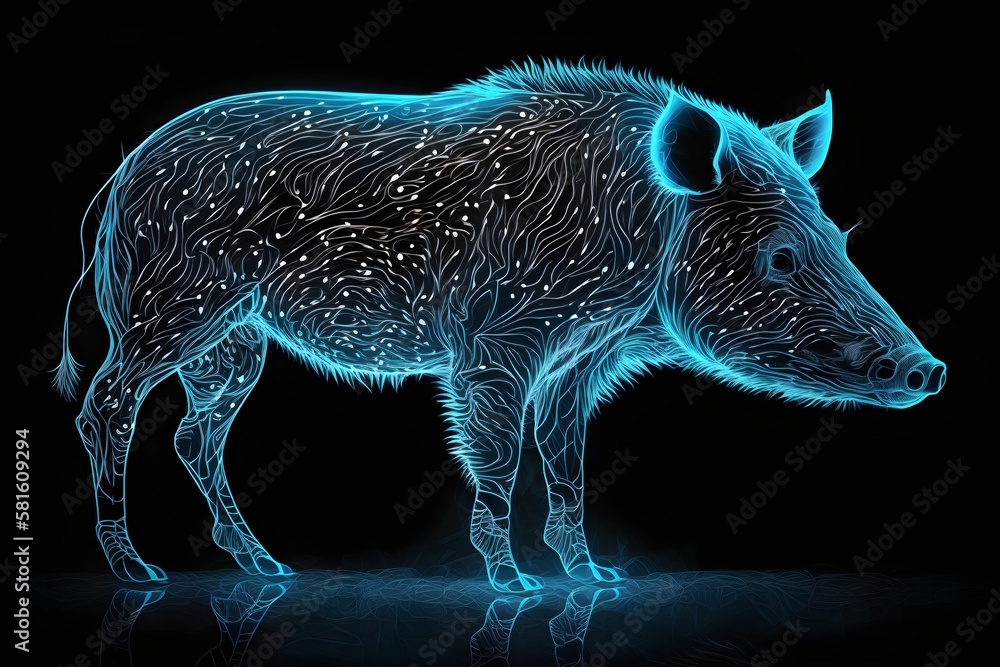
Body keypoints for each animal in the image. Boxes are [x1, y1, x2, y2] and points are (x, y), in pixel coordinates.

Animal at [56, 60, 945, 592]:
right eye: (782, 255)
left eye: (839, 238)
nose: (927, 369)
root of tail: (116, 179)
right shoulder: (495, 345)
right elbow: (501, 455)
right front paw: (515, 584)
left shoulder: (578, 359)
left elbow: (567, 461)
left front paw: (597, 580)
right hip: (167, 309)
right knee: (107, 406)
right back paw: (138, 572)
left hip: (235, 342)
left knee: (193, 434)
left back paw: (269, 569)